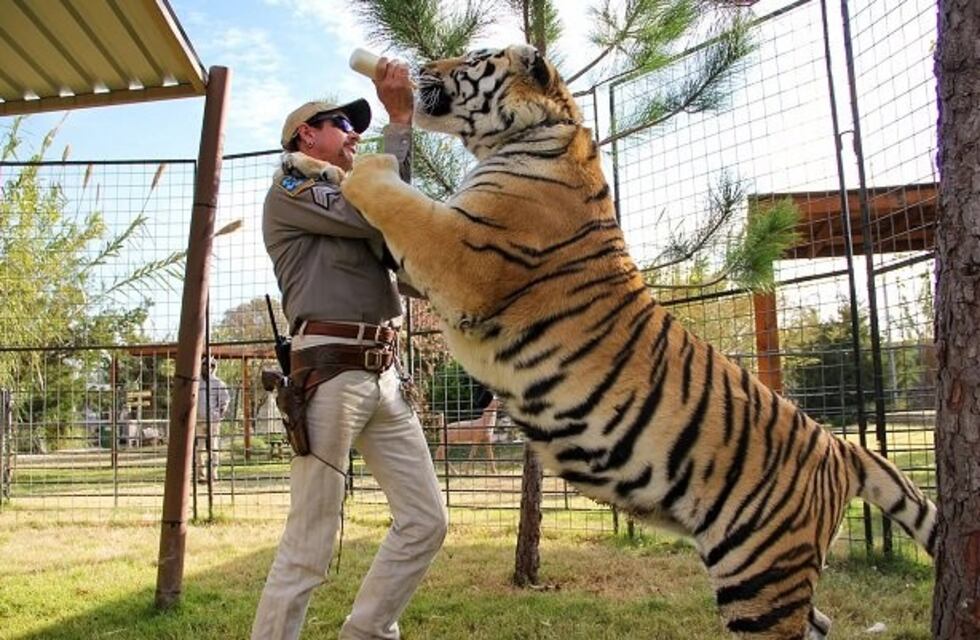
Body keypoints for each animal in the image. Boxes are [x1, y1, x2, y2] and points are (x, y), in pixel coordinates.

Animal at [286, 44, 939, 639]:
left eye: (470, 58)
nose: (418, 67)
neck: (532, 135)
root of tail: (839, 448)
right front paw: (302, 162)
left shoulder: (457, 253)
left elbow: (390, 194)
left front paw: (355, 163)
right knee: (819, 623)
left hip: (760, 573)